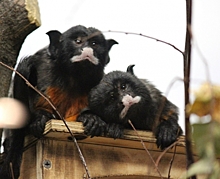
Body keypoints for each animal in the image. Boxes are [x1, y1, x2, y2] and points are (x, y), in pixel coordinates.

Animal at [0, 24, 117, 179]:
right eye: (78, 41)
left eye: (94, 44)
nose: (87, 49)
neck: (73, 77)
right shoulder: (43, 64)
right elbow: (25, 68)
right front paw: (39, 116)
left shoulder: (99, 79)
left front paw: (91, 118)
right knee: (25, 66)